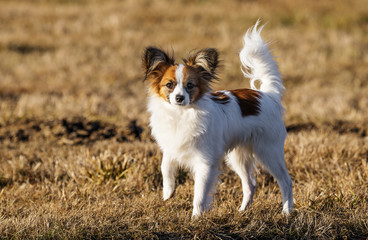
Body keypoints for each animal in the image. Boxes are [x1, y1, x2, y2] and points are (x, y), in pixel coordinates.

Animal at [143, 23, 294, 218]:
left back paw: (286, 212)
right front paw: (168, 192)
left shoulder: (205, 162)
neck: (181, 114)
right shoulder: (172, 146)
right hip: (237, 156)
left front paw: (196, 217)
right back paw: (242, 210)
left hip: (268, 152)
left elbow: (199, 194)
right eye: (169, 85)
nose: (179, 98)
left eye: (190, 86)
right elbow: (165, 165)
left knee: (285, 181)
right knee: (250, 184)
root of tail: (268, 96)